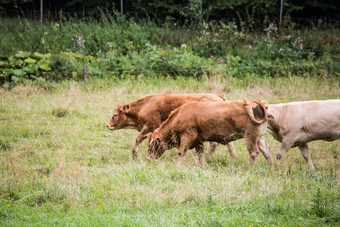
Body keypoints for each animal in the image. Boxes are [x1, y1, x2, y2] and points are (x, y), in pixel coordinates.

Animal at [107, 93, 235, 159]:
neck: (145, 106)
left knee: (214, 144)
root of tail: (218, 97)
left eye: (115, 115)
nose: (108, 125)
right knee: (228, 143)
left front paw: (134, 155)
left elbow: (138, 139)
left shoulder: (149, 126)